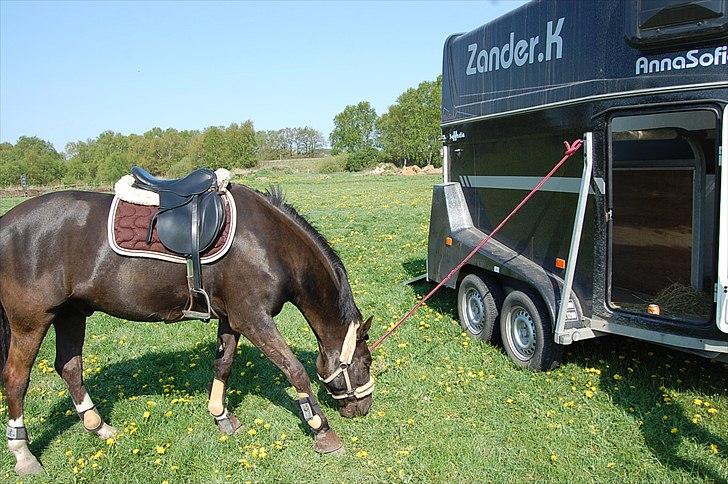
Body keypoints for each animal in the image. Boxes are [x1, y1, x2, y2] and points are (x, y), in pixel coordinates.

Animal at [0, 183, 376, 474]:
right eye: (366, 362)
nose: (364, 408)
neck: (271, 242)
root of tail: (6, 224)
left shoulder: (231, 318)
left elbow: (224, 364)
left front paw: (222, 416)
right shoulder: (254, 318)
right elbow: (295, 370)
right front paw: (322, 431)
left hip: (70, 314)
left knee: (69, 367)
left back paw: (99, 426)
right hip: (31, 321)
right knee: (16, 378)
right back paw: (24, 454)